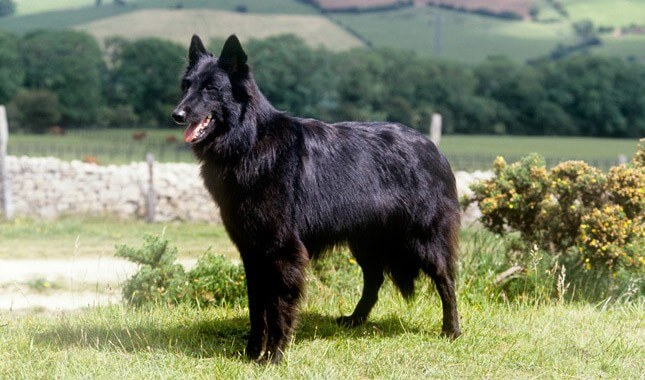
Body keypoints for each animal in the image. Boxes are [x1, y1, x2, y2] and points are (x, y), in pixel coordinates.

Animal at [174, 35, 460, 362]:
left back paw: (451, 330)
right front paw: (251, 353)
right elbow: (256, 307)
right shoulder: (252, 251)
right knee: (374, 279)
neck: (250, 142)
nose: (177, 115)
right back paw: (355, 320)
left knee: (446, 280)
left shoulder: (282, 250)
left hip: (422, 239)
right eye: (186, 85)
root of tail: (433, 148)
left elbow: (277, 306)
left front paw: (273, 356)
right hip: (365, 241)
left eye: (211, 88)